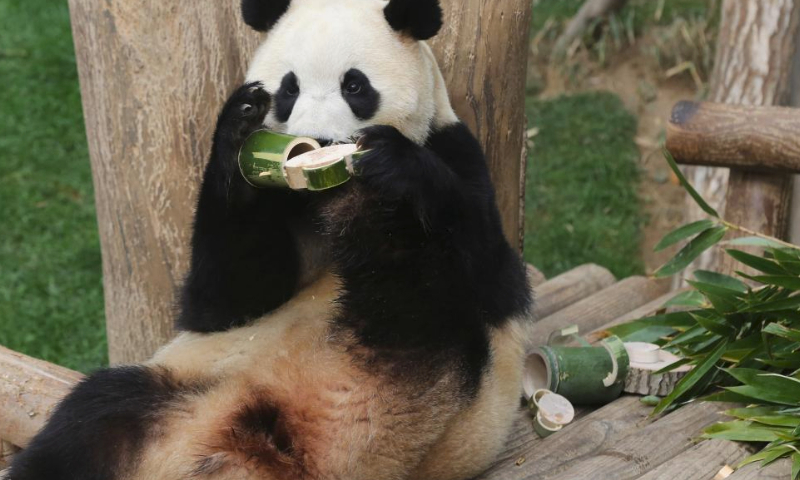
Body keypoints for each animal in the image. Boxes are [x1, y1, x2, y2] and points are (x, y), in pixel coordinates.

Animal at [7, 0, 532, 479]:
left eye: (354, 85)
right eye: (288, 88)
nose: (318, 141)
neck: (320, 197)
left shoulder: (456, 152)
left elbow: (493, 270)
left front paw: (391, 164)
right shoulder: (273, 217)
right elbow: (226, 299)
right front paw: (240, 122)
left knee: (420, 305)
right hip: (178, 391)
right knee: (90, 423)